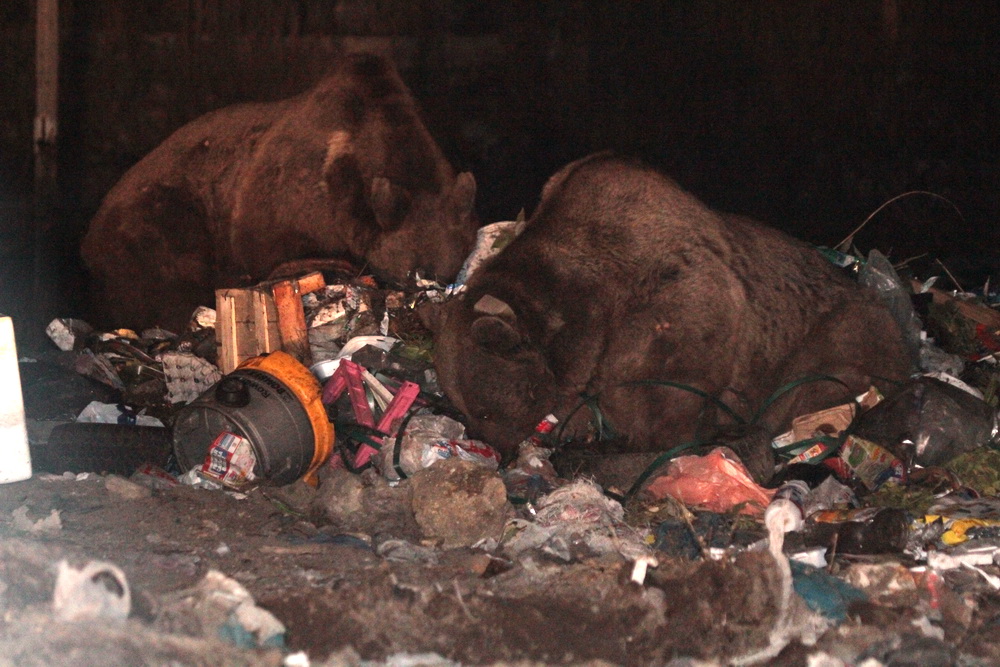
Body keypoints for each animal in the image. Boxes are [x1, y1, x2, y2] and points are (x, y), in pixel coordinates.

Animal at [420, 153, 916, 486]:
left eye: (487, 407)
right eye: (466, 407)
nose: (496, 453)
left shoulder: (679, 312)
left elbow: (668, 407)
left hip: (846, 336)